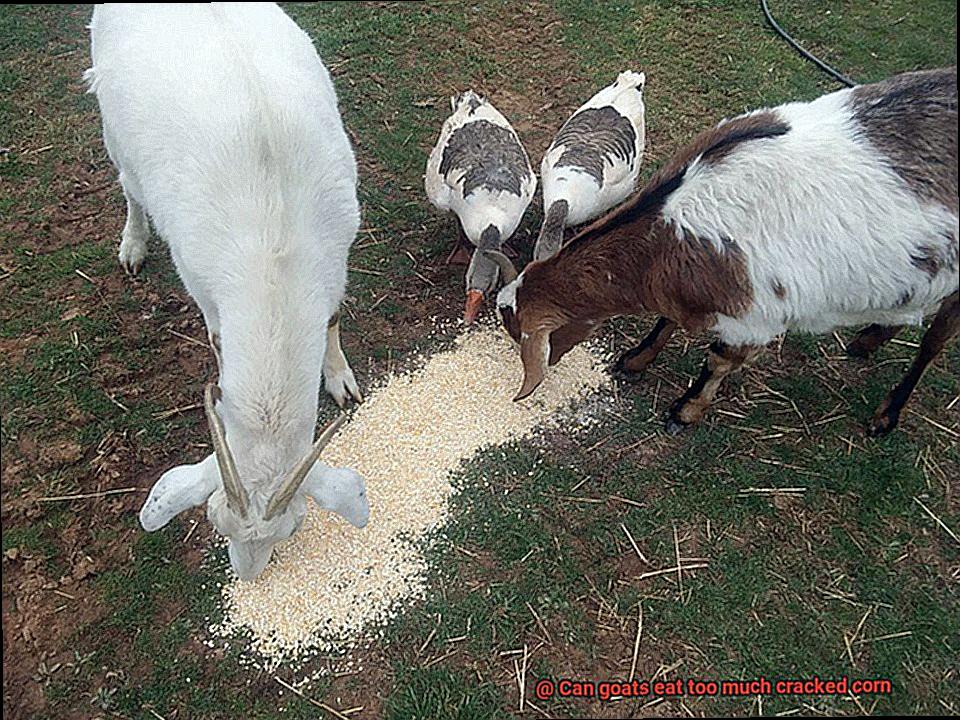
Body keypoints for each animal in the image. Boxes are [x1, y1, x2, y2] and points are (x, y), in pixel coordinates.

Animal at [84, 4, 370, 580]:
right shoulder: (204, 287)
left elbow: (332, 320)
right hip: (112, 123)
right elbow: (217, 344)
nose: (248, 574)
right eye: (214, 521)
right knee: (128, 184)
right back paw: (133, 244)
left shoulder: (338, 253)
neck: (274, 247)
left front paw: (340, 379)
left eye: (293, 529)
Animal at [498, 67, 956, 436]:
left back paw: (886, 415)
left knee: (934, 344)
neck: (670, 226)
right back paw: (868, 339)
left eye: (519, 332)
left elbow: (717, 362)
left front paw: (685, 412)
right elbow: (667, 320)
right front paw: (636, 360)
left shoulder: (755, 315)